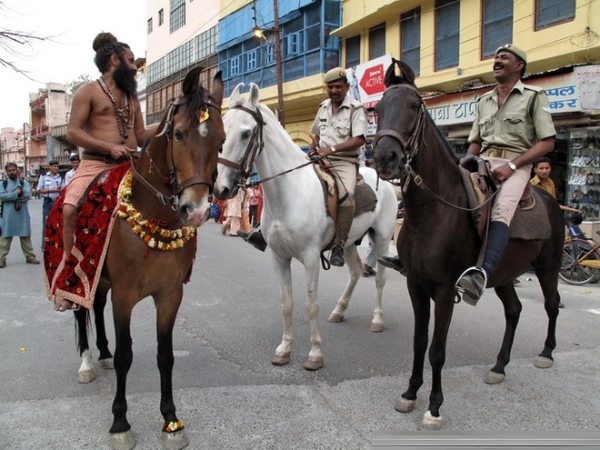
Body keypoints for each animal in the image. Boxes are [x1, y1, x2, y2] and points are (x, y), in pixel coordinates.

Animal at [72, 66, 226, 446]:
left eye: (221, 141)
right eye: (179, 134)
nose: (197, 210)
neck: (152, 213)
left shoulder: (170, 294)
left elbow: (165, 355)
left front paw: (171, 420)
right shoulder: (125, 295)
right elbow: (127, 354)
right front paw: (120, 423)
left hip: (103, 279)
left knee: (96, 306)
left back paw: (102, 352)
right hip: (79, 269)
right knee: (80, 311)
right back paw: (86, 362)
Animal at [213, 82, 400, 370]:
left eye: (246, 133)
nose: (221, 188)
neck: (289, 192)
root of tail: (387, 182)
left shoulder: (311, 258)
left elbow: (311, 305)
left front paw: (315, 354)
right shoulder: (279, 258)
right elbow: (286, 303)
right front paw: (284, 349)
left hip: (380, 238)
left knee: (380, 278)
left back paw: (377, 320)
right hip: (348, 241)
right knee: (356, 271)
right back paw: (339, 310)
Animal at [372, 59, 564, 428]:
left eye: (414, 106)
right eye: (377, 108)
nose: (385, 157)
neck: (433, 210)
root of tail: (551, 201)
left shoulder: (446, 290)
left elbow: (437, 349)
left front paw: (434, 407)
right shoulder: (416, 285)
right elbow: (419, 342)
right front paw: (410, 393)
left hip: (549, 267)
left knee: (551, 304)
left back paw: (547, 353)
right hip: (503, 275)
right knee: (515, 310)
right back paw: (500, 366)